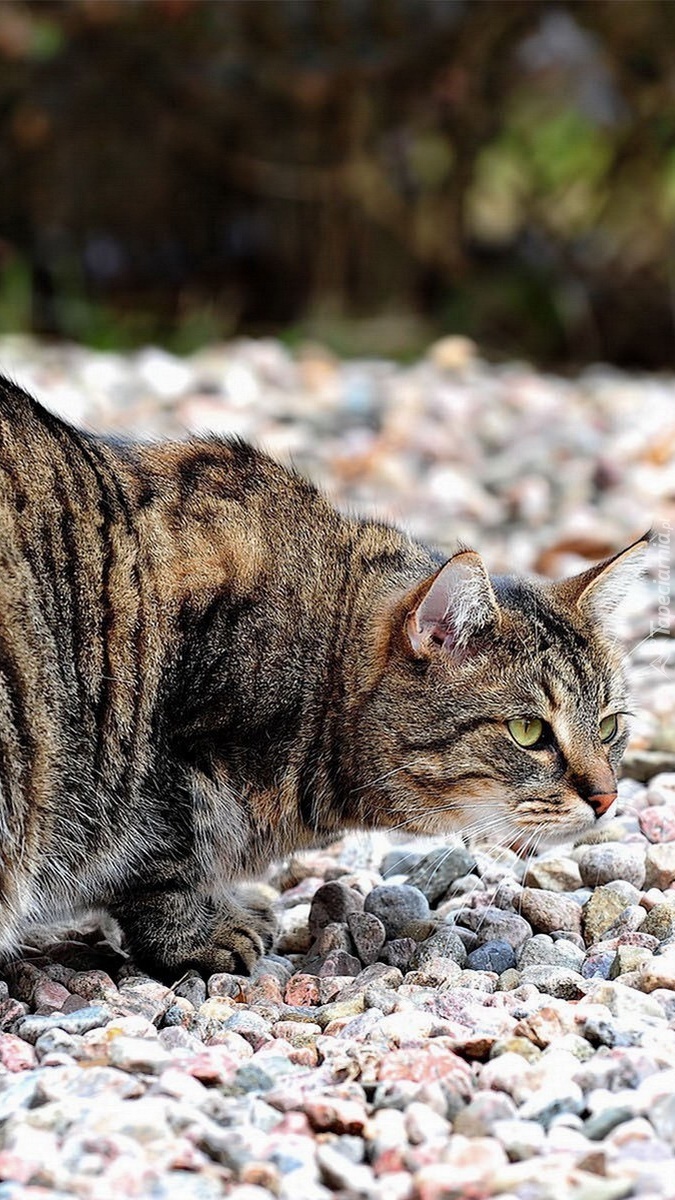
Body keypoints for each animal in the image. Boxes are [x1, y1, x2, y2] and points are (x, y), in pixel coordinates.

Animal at [0, 379, 643, 979]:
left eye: (609, 726)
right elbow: (158, 866)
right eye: (529, 732)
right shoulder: (158, 768)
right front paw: (204, 930)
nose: (608, 798)